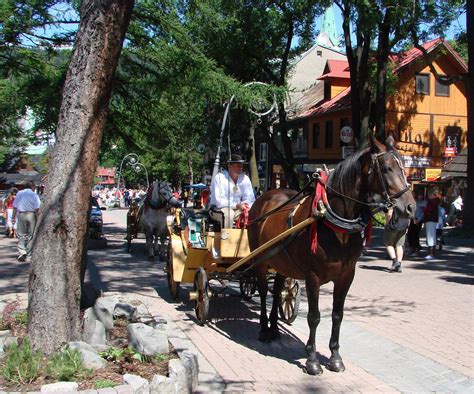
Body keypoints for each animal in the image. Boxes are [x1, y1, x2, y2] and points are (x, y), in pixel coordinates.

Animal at [248, 135, 414, 376]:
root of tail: (266, 196)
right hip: (260, 261)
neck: (334, 224)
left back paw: (274, 327)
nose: (411, 207)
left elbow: (337, 314)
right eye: (387, 168)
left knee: (278, 289)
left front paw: (335, 357)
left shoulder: (346, 276)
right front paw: (312, 360)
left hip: (281, 262)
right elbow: (314, 316)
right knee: (262, 292)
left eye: (403, 167)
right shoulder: (313, 277)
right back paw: (263, 329)